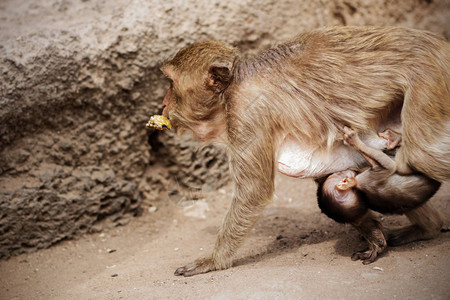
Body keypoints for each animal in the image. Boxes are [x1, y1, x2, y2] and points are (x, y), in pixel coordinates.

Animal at [318, 127, 442, 264]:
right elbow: (388, 166)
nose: (335, 172)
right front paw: (353, 140)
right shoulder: (365, 180)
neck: (359, 191)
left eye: (336, 174)